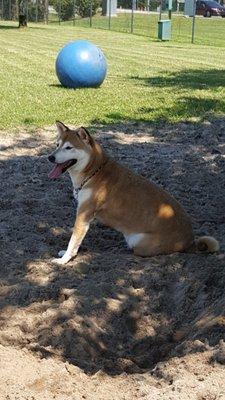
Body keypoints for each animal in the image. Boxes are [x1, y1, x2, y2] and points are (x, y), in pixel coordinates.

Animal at [48, 122, 220, 266]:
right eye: (57, 145)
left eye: (69, 148)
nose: (50, 157)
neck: (93, 172)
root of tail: (190, 242)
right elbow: (75, 242)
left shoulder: (83, 215)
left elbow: (73, 241)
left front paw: (63, 260)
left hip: (137, 240)